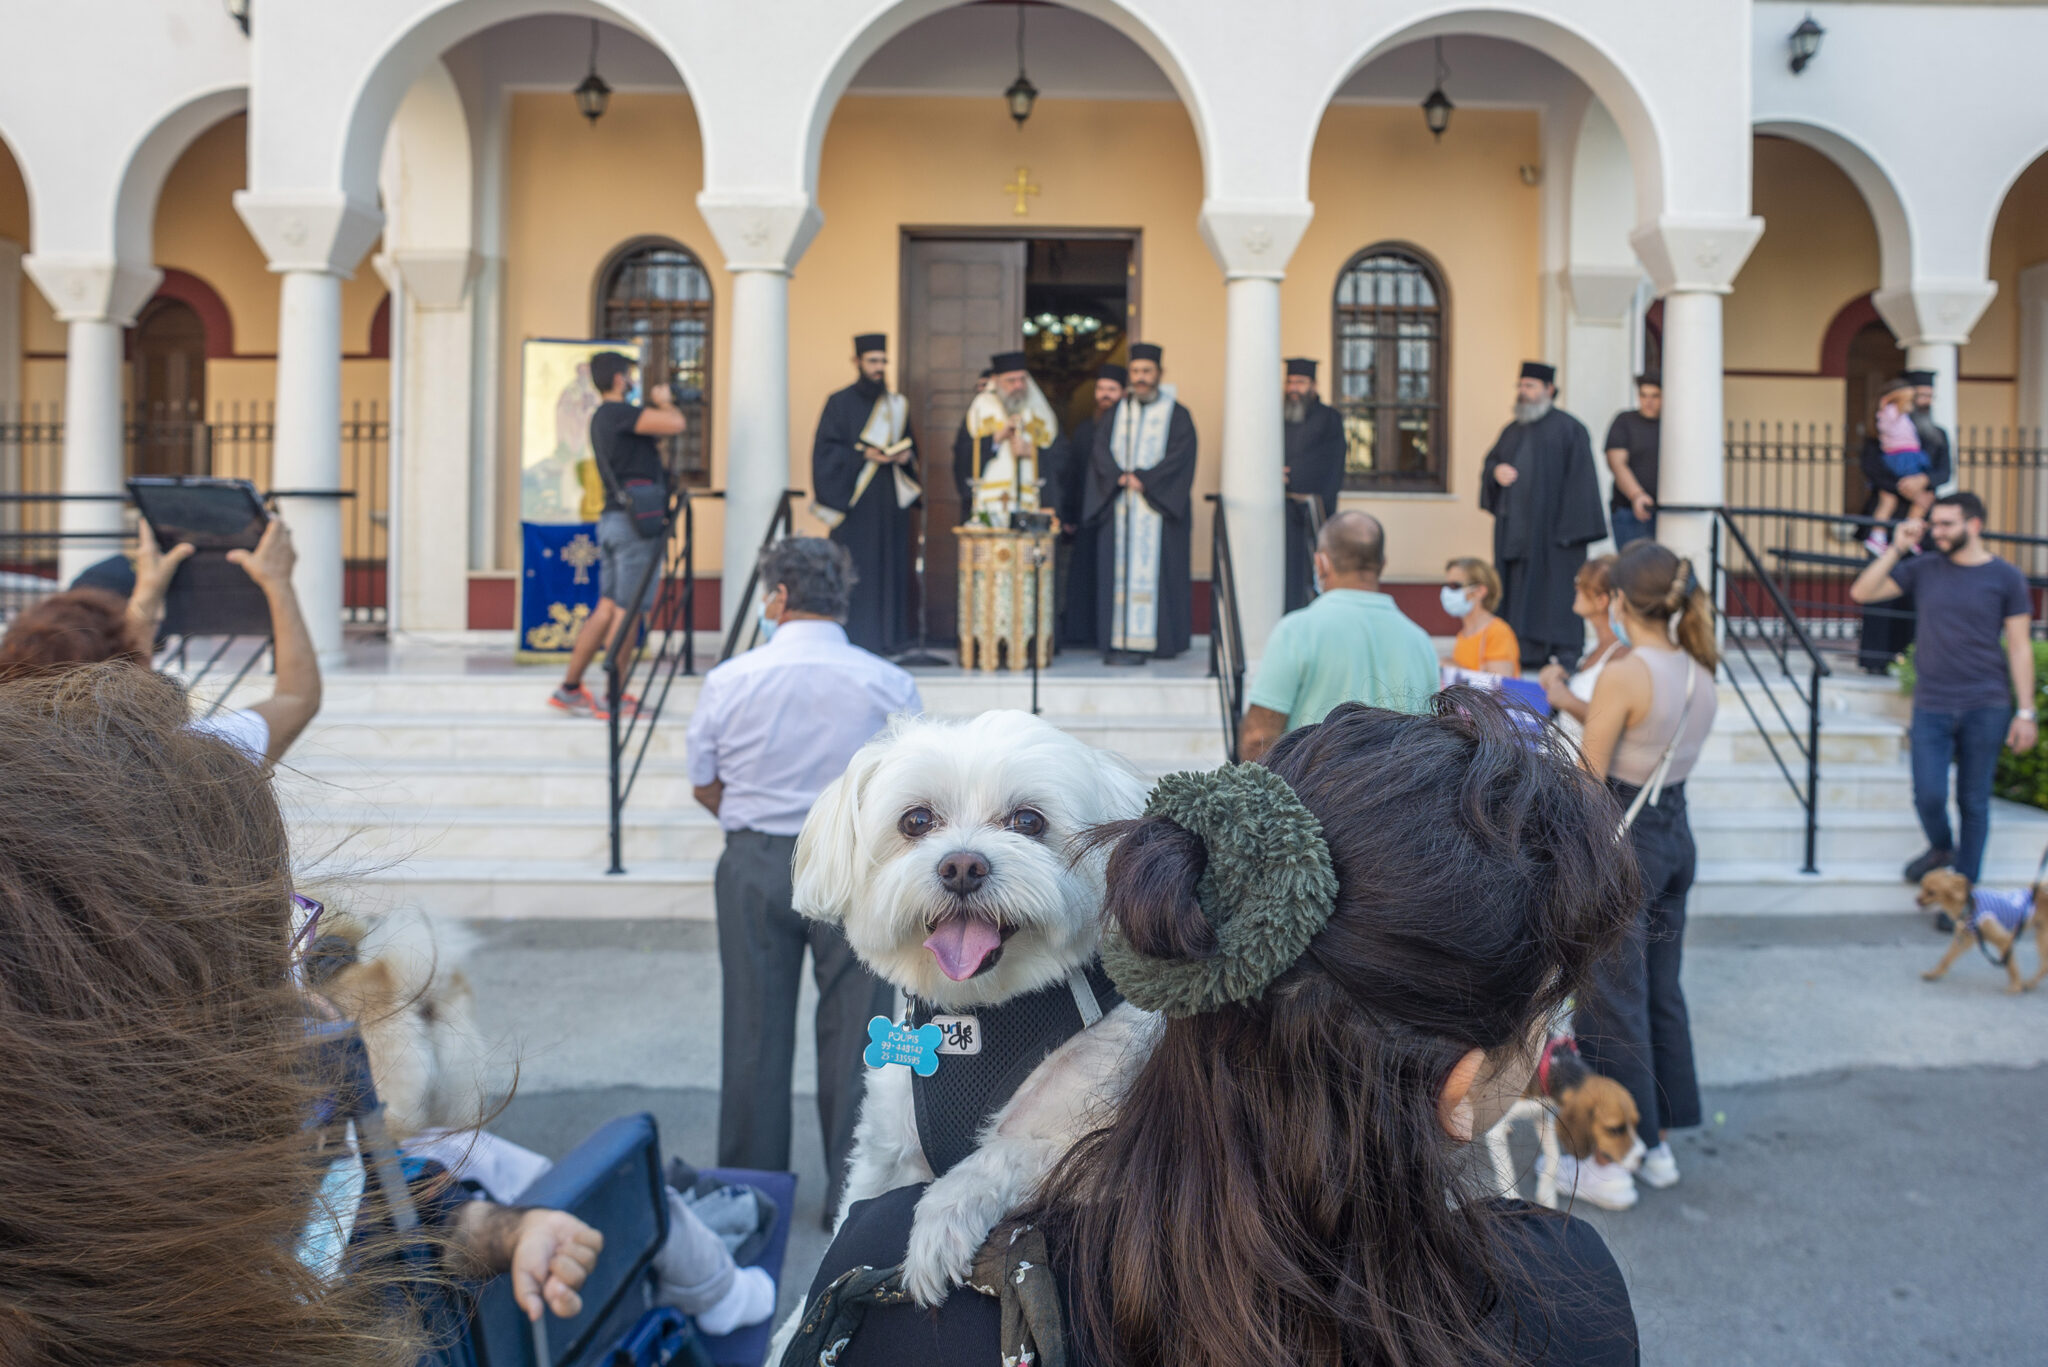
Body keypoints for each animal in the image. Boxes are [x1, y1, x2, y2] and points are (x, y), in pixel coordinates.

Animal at [790, 717, 1163, 1303]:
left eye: (1028, 821)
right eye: (917, 820)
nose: (962, 865)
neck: (979, 1012)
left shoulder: (1099, 1148)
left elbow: (1006, 1153)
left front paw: (938, 1224)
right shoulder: (886, 1153)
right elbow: (851, 1217)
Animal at [1908, 873, 2039, 1000]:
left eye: (1931, 892)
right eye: (1922, 886)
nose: (1916, 900)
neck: (1967, 906)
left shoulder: (2004, 940)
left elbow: (2011, 966)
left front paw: (2016, 985)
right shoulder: (1964, 940)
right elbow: (1946, 958)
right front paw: (1934, 974)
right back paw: (2030, 983)